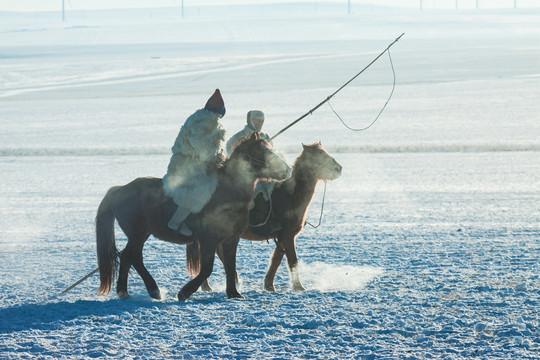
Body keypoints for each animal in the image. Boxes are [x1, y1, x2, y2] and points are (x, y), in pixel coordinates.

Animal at [95, 132, 294, 300]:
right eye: (263, 151)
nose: (288, 170)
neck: (227, 192)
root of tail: (120, 189)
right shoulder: (208, 240)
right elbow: (207, 269)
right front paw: (185, 292)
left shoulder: (231, 239)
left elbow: (230, 266)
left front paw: (233, 293)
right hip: (137, 233)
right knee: (134, 256)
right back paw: (153, 289)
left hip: (141, 234)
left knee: (127, 256)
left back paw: (124, 291)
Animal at [192, 142, 340, 294]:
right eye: (318, 156)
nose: (338, 168)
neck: (290, 196)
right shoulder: (288, 235)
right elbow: (292, 260)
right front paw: (298, 286)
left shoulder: (282, 237)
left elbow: (276, 259)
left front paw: (269, 285)